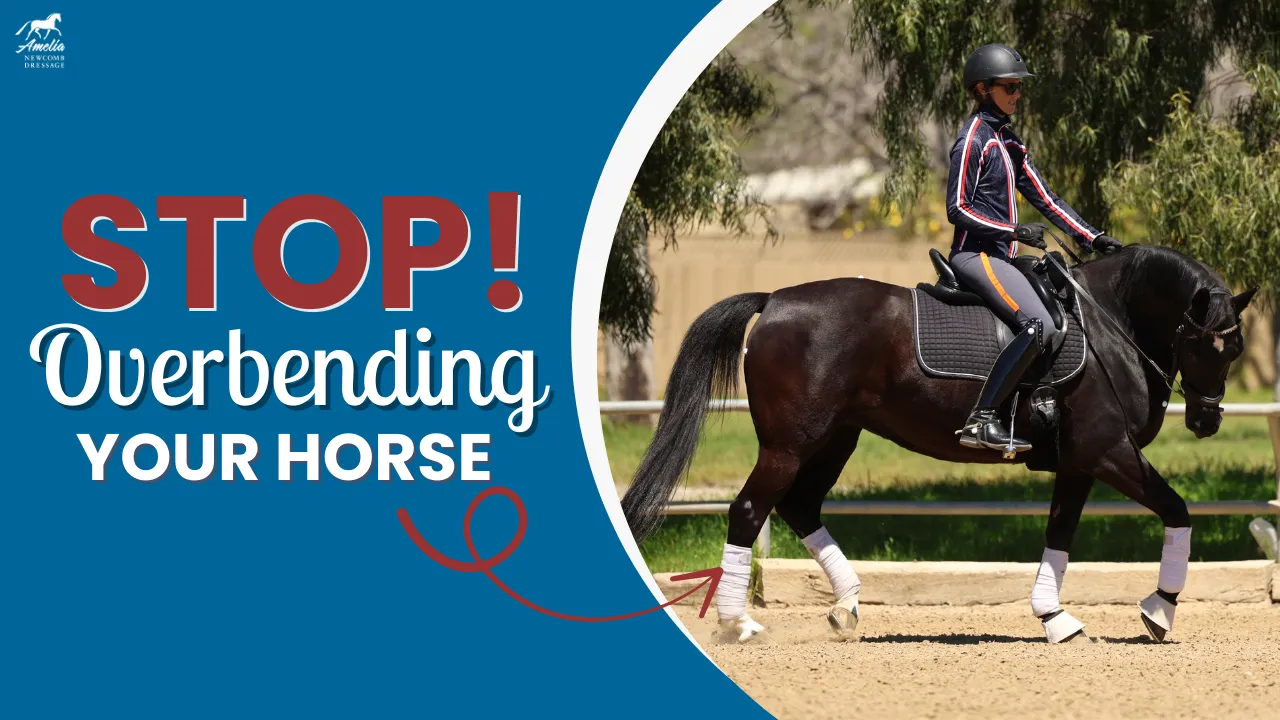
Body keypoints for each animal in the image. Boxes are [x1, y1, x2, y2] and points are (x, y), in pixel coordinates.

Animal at [621, 243, 1257, 644]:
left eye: (1235, 350)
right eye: (1202, 344)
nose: (1206, 420)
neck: (1108, 326)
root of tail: (774, 299)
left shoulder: (1078, 463)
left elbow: (1059, 537)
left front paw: (1054, 618)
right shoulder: (1109, 453)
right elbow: (1177, 509)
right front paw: (1160, 610)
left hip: (835, 440)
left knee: (799, 507)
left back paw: (847, 604)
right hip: (789, 446)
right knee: (750, 510)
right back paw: (739, 625)